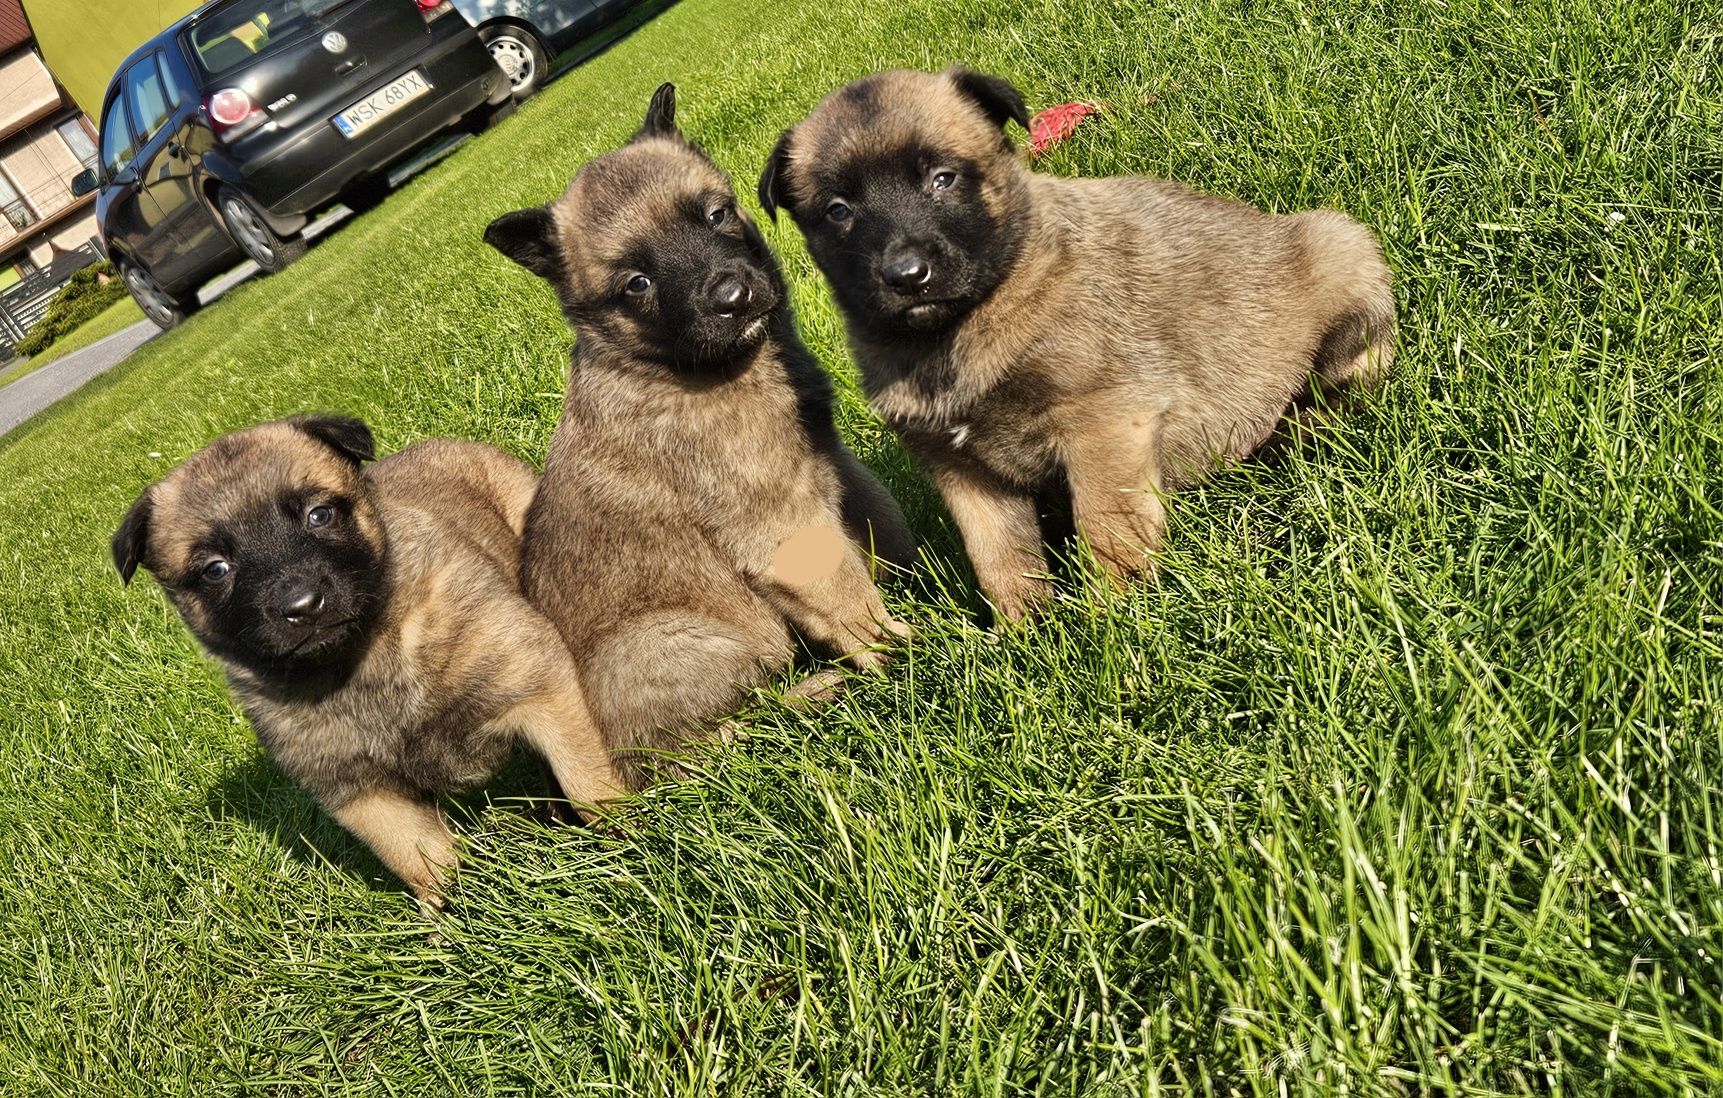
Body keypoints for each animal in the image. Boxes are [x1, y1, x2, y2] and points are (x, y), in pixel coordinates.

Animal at [107, 415, 623, 910]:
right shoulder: (365, 794)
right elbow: (424, 860)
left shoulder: (537, 681)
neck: (359, 662)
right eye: (215, 569)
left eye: (319, 515)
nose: (302, 605)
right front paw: (459, 919)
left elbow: (590, 784)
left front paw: (624, 844)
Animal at [485, 83, 916, 789]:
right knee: (715, 745)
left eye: (715, 215)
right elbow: (848, 596)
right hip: (687, 643)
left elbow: (885, 520)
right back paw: (811, 695)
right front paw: (911, 647)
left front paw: (931, 575)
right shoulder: (783, 526)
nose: (734, 298)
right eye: (637, 283)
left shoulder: (832, 461)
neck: (679, 368)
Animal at [761, 66, 1392, 617]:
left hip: (1340, 252)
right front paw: (1027, 635)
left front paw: (1115, 620)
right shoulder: (961, 470)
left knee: (1351, 382)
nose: (907, 274)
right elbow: (999, 557)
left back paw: (1302, 427)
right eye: (838, 211)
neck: (961, 327)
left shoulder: (1104, 424)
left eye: (943, 178)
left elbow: (1107, 531)